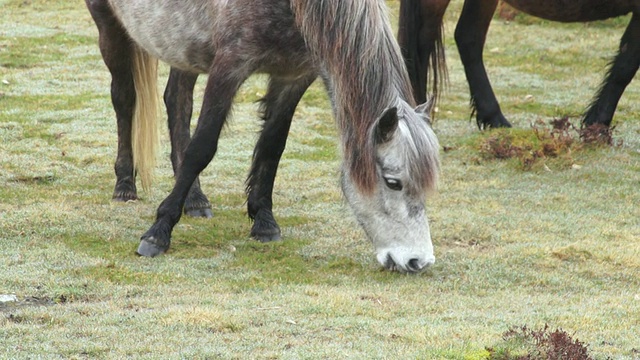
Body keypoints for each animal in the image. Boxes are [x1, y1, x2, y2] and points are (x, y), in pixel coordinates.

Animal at [86, 0, 440, 272]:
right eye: (393, 182)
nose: (417, 261)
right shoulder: (229, 65)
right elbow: (203, 148)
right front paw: (158, 233)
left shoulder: (295, 76)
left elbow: (272, 147)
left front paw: (264, 221)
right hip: (109, 24)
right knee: (124, 97)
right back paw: (125, 184)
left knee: (176, 102)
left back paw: (196, 199)